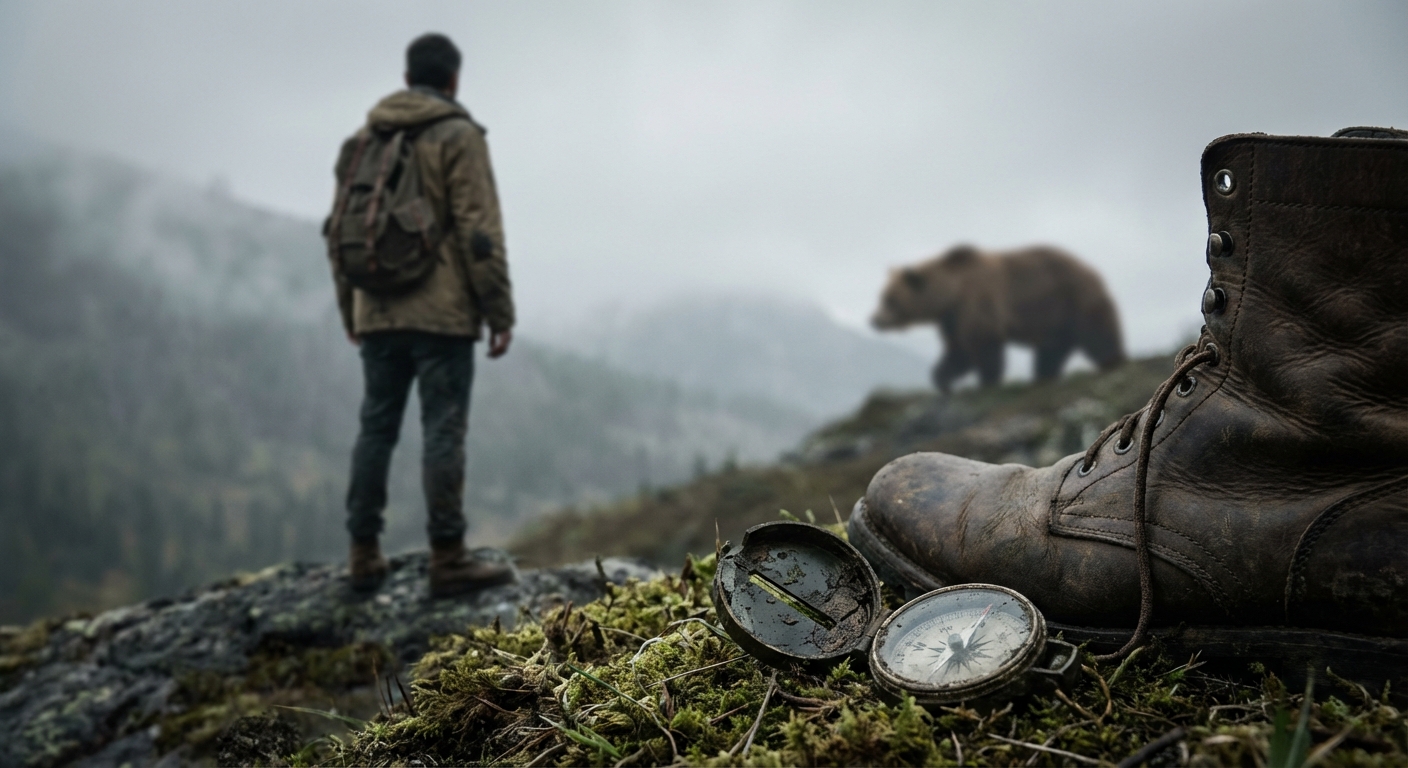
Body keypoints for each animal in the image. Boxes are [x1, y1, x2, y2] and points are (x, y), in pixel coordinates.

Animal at [872, 244, 1125, 393]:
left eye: (889, 299)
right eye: (882, 296)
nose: (874, 320)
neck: (952, 293)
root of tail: (1092, 270)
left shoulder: (978, 300)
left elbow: (983, 342)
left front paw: (987, 382)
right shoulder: (953, 317)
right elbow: (959, 351)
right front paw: (942, 379)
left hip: (1074, 300)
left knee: (1097, 334)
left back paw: (1113, 362)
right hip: (1056, 319)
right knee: (1051, 351)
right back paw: (1042, 378)